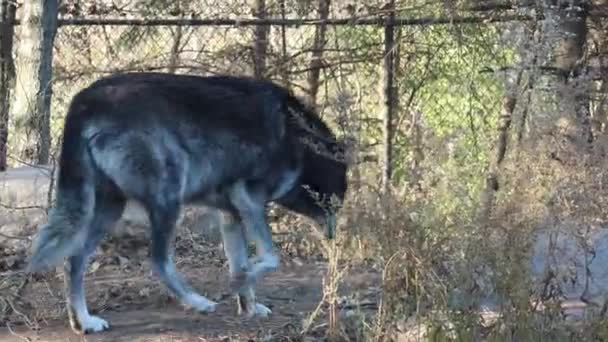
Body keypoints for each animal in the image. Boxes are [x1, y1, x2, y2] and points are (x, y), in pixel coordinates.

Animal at [23, 72, 350, 334]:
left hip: (110, 210)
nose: (334, 238)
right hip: (169, 200)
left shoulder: (231, 213)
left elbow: (242, 262)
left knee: (74, 261)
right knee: (158, 261)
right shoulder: (248, 199)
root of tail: (84, 99)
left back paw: (84, 322)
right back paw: (197, 302)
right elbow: (271, 258)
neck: (298, 141)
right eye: (337, 201)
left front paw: (248, 305)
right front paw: (239, 282)